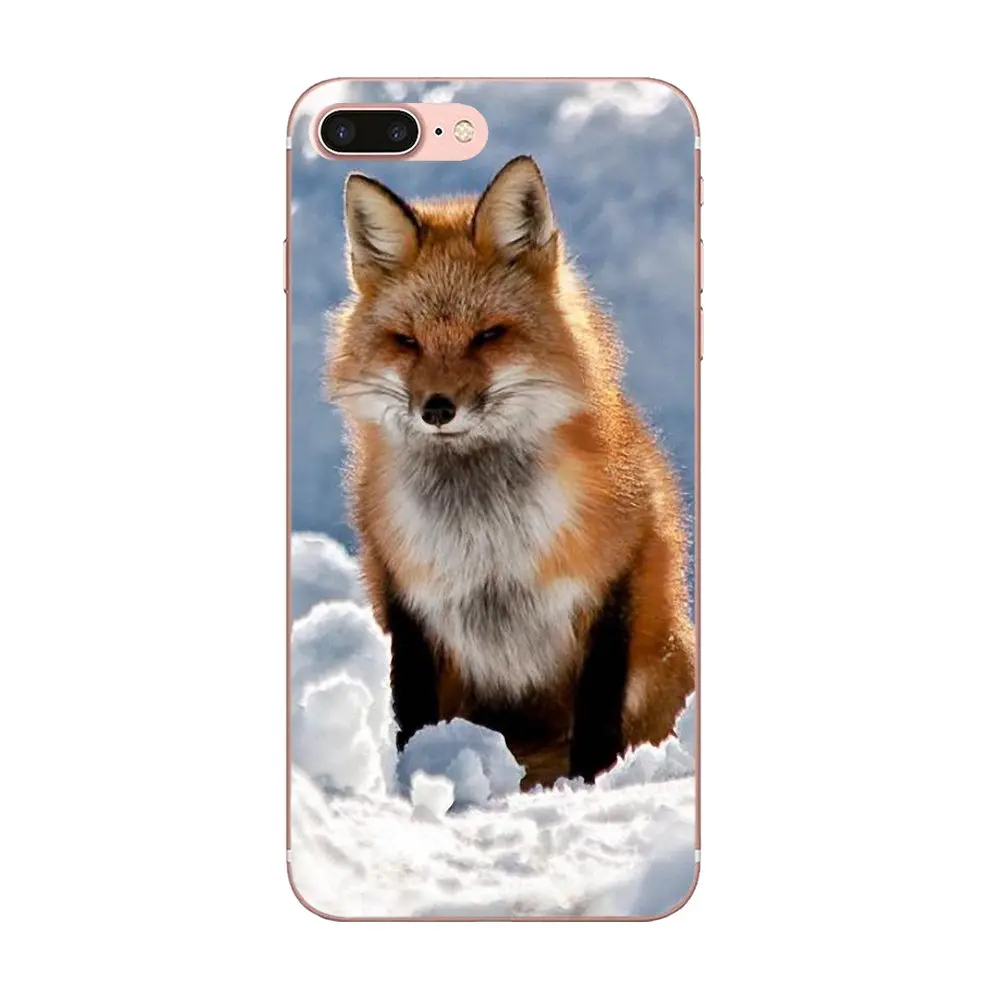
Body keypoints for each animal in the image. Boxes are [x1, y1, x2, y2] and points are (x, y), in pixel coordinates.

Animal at [326, 155, 695, 788]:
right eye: (406, 341)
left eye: (488, 335)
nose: (437, 409)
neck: (487, 540)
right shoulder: (406, 594)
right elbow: (413, 714)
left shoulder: (614, 581)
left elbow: (597, 721)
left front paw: (585, 789)